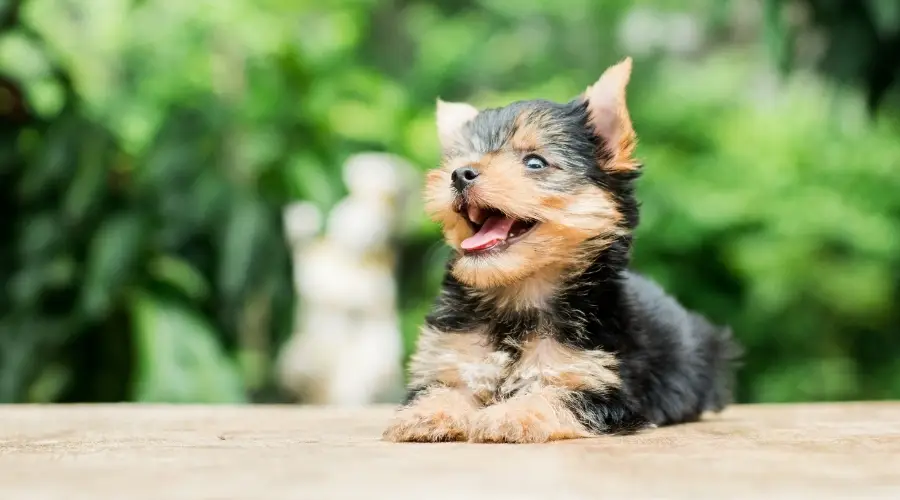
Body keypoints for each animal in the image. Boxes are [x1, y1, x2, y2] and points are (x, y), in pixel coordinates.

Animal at [384, 56, 740, 444]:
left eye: (535, 162)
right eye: (459, 160)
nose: (460, 174)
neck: (519, 295)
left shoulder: (598, 379)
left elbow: (554, 395)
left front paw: (510, 416)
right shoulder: (452, 354)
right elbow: (446, 387)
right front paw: (427, 413)